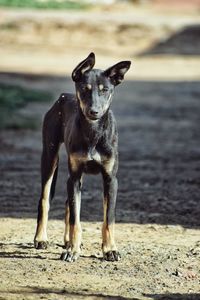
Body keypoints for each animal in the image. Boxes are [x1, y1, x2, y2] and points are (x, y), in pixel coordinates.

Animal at [34, 52, 131, 262]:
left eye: (105, 90)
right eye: (84, 89)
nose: (94, 111)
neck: (93, 132)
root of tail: (62, 97)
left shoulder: (110, 179)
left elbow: (108, 219)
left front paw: (110, 250)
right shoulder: (75, 176)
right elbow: (75, 220)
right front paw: (72, 251)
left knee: (67, 204)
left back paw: (67, 241)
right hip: (50, 157)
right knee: (45, 199)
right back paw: (41, 238)